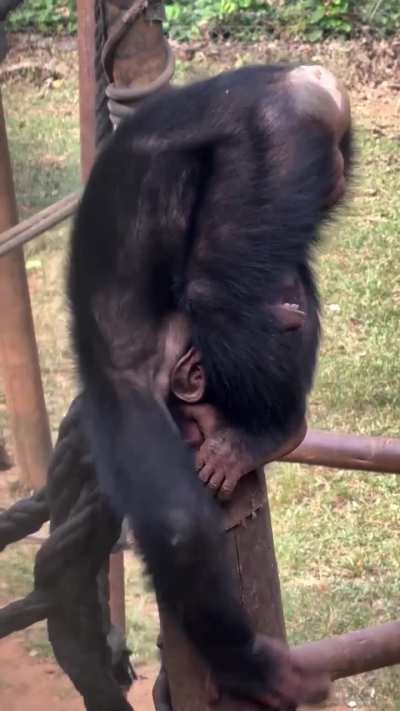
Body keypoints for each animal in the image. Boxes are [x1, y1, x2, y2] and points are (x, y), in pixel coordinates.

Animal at [68, 63, 351, 708]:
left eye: (190, 422)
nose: (199, 439)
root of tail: (300, 76)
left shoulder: (124, 405)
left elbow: (177, 528)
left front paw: (251, 668)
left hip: (275, 146)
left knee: (216, 284)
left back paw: (273, 430)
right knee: (278, 274)